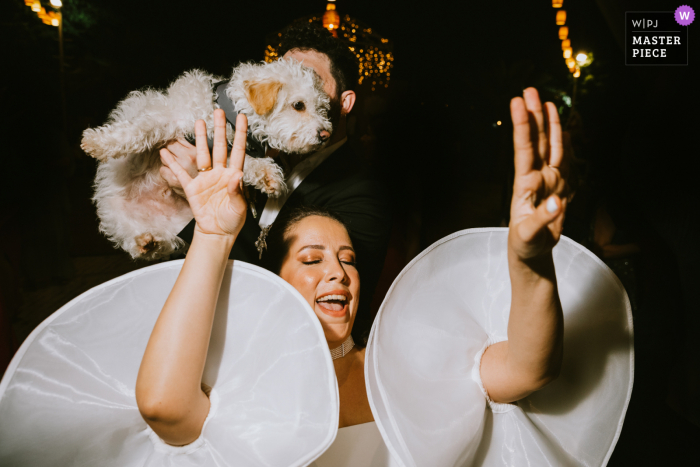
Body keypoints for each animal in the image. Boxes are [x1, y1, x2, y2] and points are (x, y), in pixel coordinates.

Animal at [80, 59, 332, 260]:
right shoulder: (169, 119)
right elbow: (138, 130)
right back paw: (142, 240)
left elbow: (245, 163)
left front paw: (268, 176)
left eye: (322, 108)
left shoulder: (228, 151)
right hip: (116, 214)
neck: (229, 117)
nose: (325, 135)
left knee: (161, 244)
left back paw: (149, 242)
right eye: (298, 105)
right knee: (130, 239)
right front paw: (99, 142)